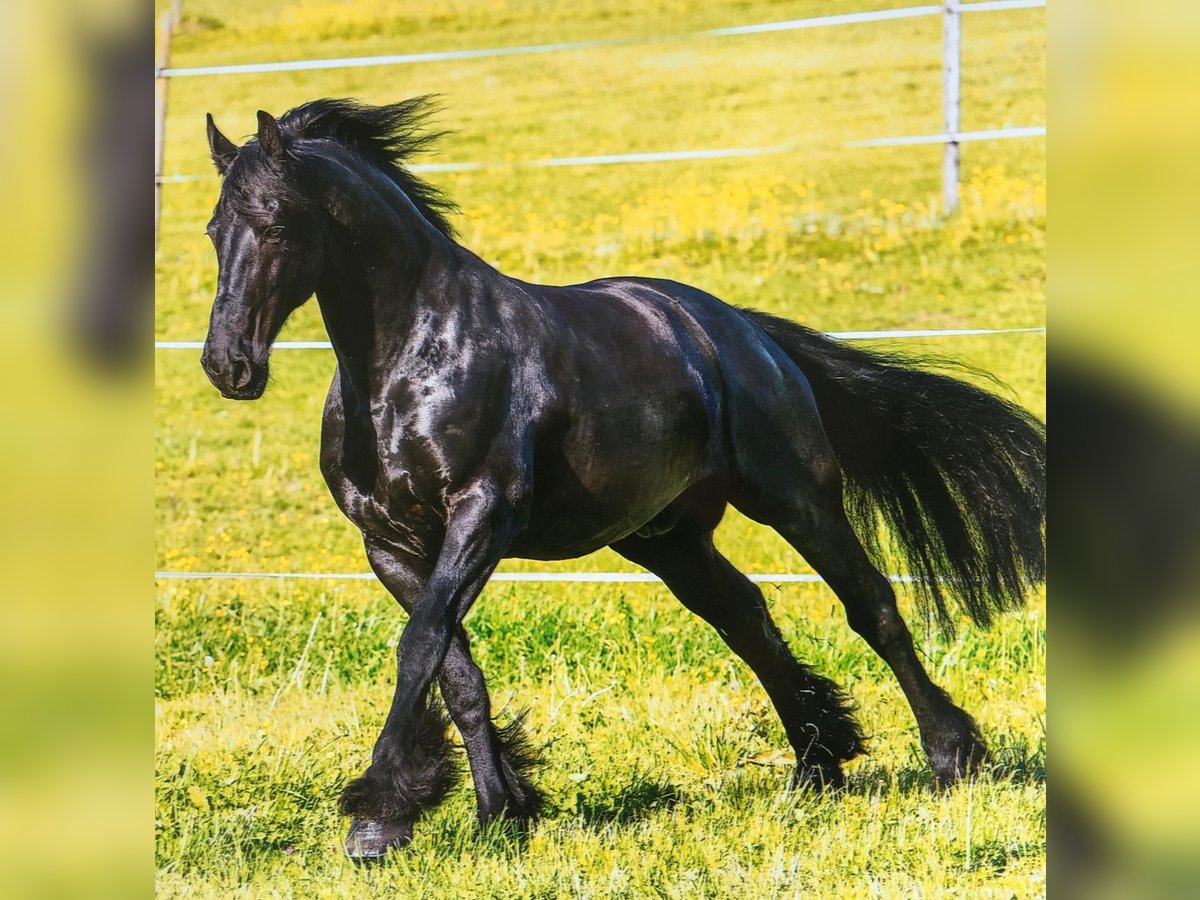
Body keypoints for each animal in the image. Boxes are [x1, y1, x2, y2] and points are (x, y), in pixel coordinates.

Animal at [196, 98, 1041, 859]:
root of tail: (738, 327)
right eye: (213, 230)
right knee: (746, 618)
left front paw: (380, 817)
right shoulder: (392, 544)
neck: (413, 362)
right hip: (665, 537)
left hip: (795, 499)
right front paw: (500, 812)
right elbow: (454, 671)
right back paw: (816, 767)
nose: (228, 366)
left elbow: (420, 646)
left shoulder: (481, 514)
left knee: (872, 606)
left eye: (275, 223)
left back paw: (952, 756)